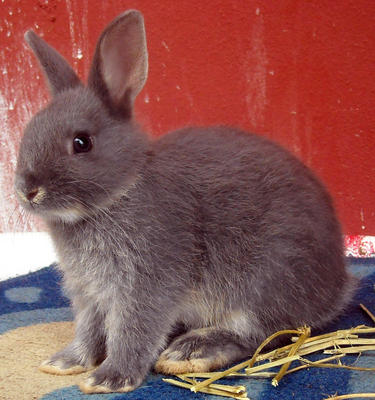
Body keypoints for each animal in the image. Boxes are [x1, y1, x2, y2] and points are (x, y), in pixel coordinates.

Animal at [15, 8, 358, 394]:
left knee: (257, 332)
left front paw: (108, 379)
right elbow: (88, 332)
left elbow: (133, 332)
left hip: (268, 278)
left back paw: (189, 351)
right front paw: (64, 363)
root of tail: (338, 285)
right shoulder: (89, 295)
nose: (27, 189)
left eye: (81, 142)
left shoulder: (147, 284)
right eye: (29, 130)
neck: (118, 194)